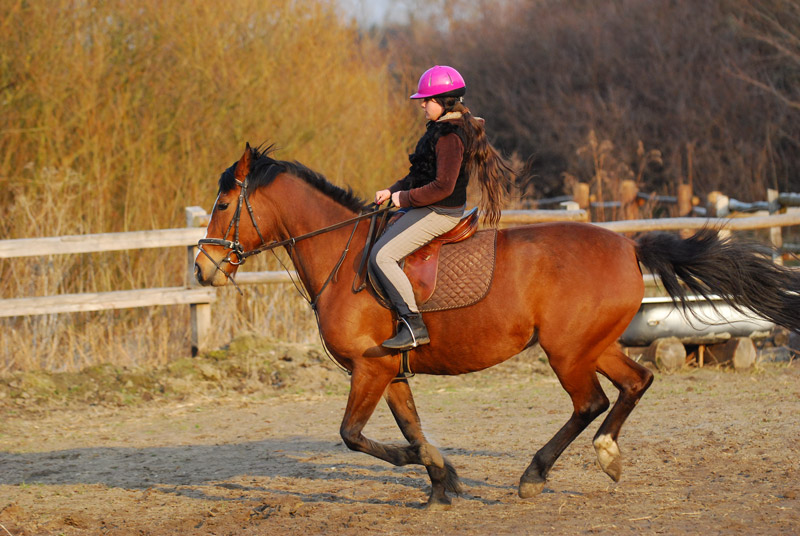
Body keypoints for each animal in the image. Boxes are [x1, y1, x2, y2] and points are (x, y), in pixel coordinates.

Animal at [194, 144, 800, 508]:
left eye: (223, 203)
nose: (202, 268)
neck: (343, 257)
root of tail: (627, 245)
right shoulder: (392, 372)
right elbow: (411, 427)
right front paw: (442, 483)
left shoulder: (370, 369)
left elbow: (354, 436)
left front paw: (429, 467)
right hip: (590, 345)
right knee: (635, 383)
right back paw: (606, 455)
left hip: (566, 352)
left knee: (590, 402)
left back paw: (536, 475)